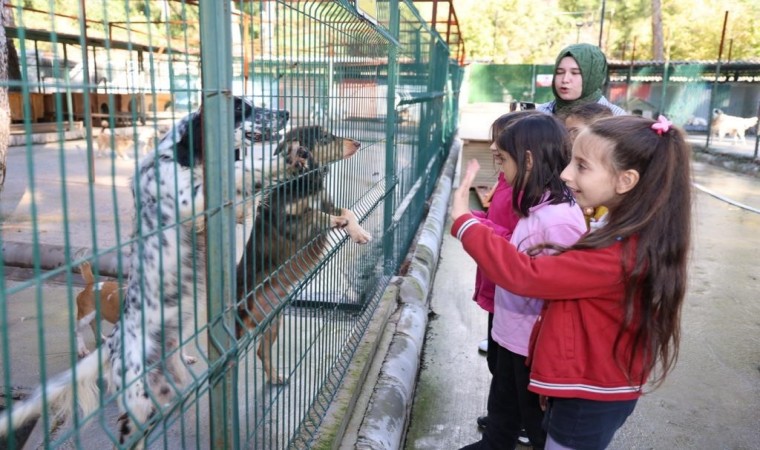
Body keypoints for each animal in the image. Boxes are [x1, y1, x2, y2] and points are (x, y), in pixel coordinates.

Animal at [235, 125, 372, 384]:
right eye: (325, 137)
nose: (358, 143)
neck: (304, 180)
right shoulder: (287, 223)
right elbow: (314, 215)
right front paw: (338, 222)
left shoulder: (327, 203)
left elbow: (347, 211)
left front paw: (359, 232)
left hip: (275, 321)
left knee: (261, 350)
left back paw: (276, 378)